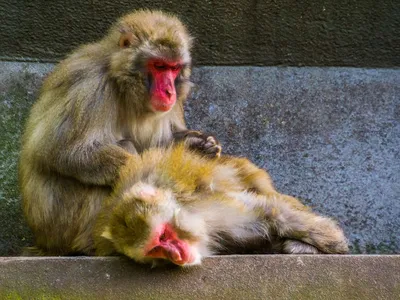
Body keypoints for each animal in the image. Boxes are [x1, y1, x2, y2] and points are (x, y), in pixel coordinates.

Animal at [94, 144, 346, 266]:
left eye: (163, 235)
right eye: (155, 249)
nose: (175, 255)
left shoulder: (212, 209)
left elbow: (272, 214)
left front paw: (334, 244)